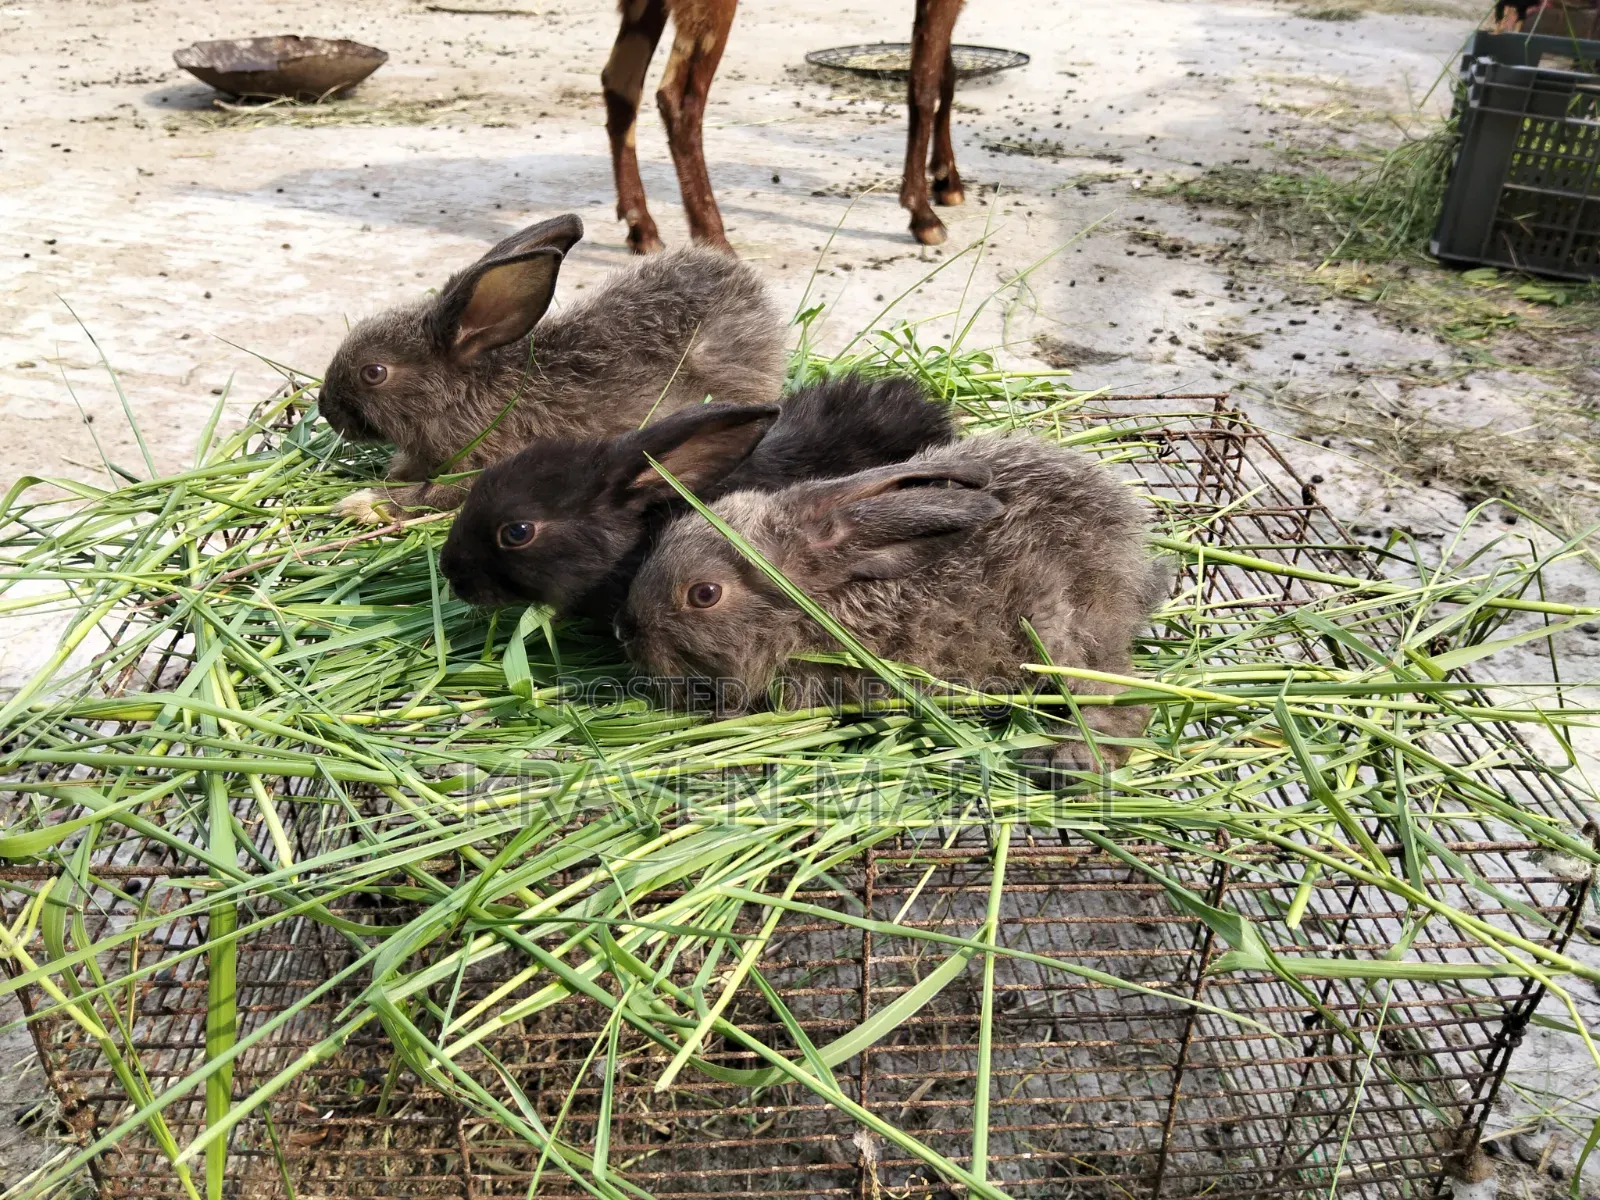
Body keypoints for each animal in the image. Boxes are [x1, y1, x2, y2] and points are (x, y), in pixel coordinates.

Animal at [317, 213, 786, 525]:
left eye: (374, 372)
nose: (326, 410)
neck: (464, 394)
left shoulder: (483, 464)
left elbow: (430, 494)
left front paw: (363, 503)